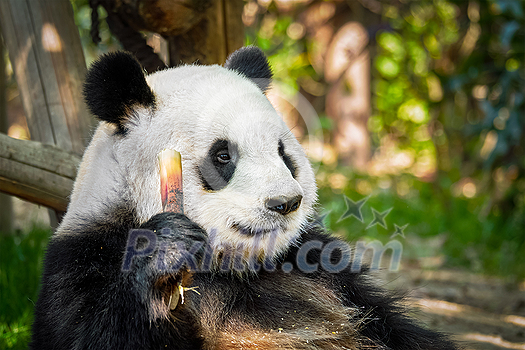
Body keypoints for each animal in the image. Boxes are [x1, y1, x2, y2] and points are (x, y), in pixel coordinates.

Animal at [30, 47, 456, 350]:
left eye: (283, 153)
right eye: (223, 155)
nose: (285, 203)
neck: (232, 267)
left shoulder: (324, 268)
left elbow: (394, 327)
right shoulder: (84, 261)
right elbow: (88, 333)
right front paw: (166, 248)